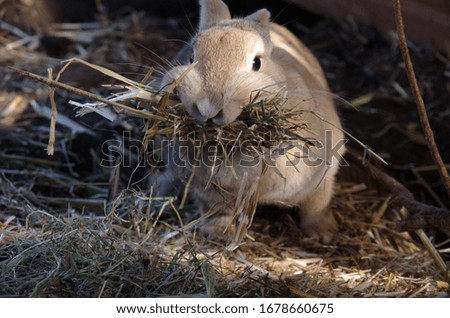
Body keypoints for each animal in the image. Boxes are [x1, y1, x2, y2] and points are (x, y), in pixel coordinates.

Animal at [156, 0, 346, 243]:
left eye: (257, 63)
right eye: (190, 57)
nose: (207, 107)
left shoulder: (322, 173)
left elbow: (316, 204)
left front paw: (324, 234)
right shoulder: (210, 191)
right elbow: (219, 210)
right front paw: (217, 233)